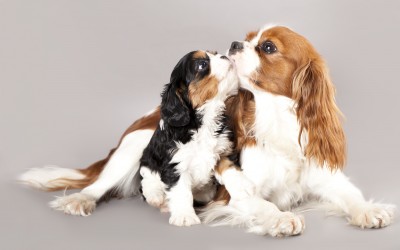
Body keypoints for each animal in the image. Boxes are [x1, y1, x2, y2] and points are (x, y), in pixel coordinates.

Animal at [18, 24, 394, 235]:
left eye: (268, 47)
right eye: (247, 39)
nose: (234, 44)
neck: (276, 120)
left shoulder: (322, 173)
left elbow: (349, 194)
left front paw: (369, 210)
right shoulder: (232, 196)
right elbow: (262, 204)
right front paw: (281, 219)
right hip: (133, 148)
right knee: (102, 183)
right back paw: (82, 199)